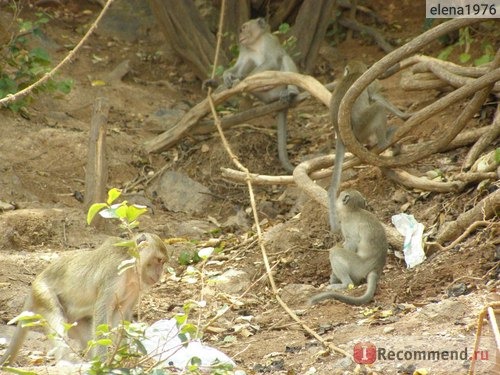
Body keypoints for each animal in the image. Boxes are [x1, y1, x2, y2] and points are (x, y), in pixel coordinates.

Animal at [0, 234, 169, 366]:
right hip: (43, 293)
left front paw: (124, 359)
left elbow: (120, 316)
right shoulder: (113, 273)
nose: (160, 274)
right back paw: (68, 361)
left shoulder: (136, 287)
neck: (130, 265)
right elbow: (102, 310)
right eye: (159, 260)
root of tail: (35, 283)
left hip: (74, 320)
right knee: (56, 318)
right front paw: (104, 362)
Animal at [206, 18, 298, 173]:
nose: (240, 35)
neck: (256, 43)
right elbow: (239, 67)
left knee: (284, 58)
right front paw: (227, 77)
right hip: (265, 96)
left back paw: (292, 92)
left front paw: (241, 78)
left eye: (243, 28)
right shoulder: (245, 48)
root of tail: (274, 99)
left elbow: (272, 61)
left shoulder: (269, 41)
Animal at [328, 60, 398, 234]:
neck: (355, 73)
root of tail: (340, 132)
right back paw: (384, 141)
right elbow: (376, 96)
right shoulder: (369, 84)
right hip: (363, 128)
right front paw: (406, 115)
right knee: (378, 107)